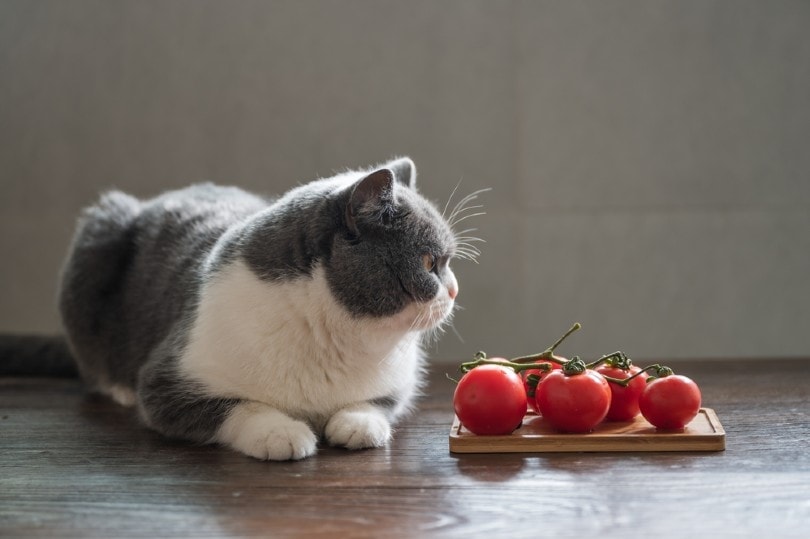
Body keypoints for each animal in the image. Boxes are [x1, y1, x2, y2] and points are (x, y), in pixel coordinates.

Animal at [50, 157, 480, 460]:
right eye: (429, 262)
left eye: (446, 263)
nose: (456, 290)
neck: (335, 334)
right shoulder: (167, 379)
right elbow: (235, 407)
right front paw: (282, 433)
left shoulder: (400, 379)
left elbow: (380, 401)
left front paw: (356, 424)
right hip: (100, 231)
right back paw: (119, 388)